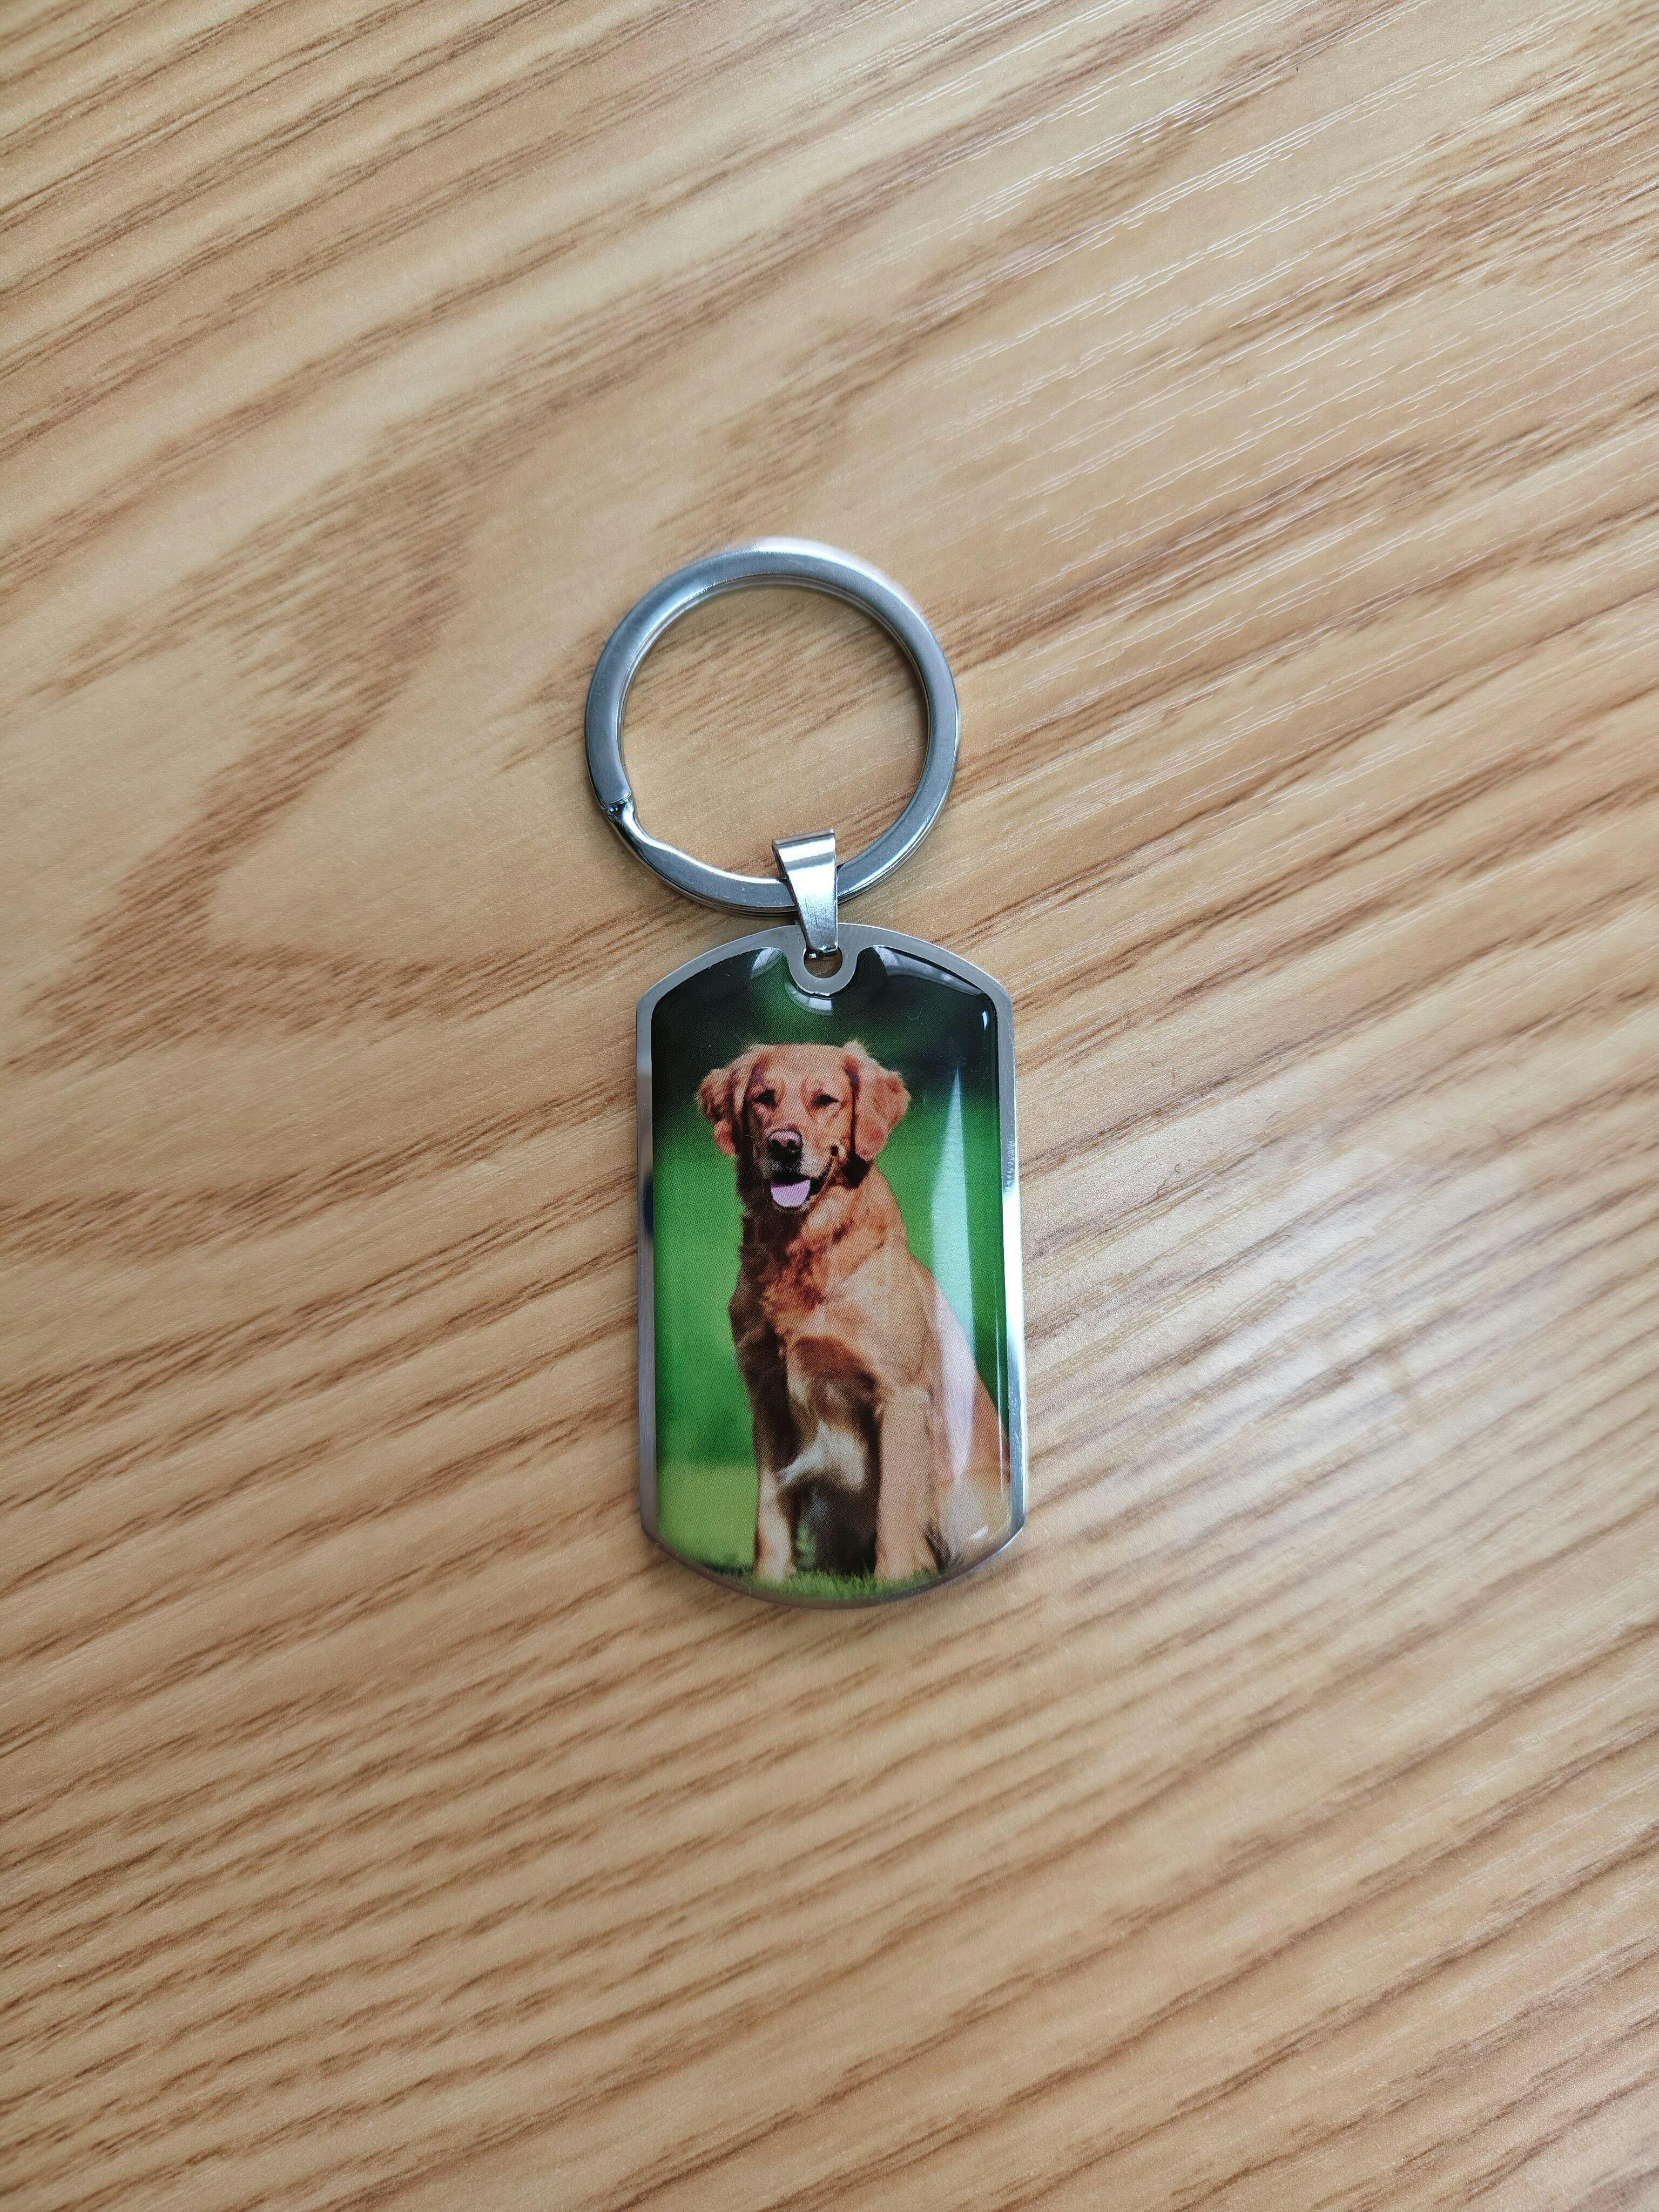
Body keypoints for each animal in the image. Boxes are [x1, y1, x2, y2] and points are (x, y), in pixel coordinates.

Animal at [698, 1040, 1009, 1582]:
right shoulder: (768, 1399)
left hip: (964, 1494)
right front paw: (770, 1579)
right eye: (763, 1098)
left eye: (825, 1100)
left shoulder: (900, 1396)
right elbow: (769, 1511)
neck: (803, 1252)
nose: (784, 1146)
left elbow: (894, 1508)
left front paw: (894, 1579)